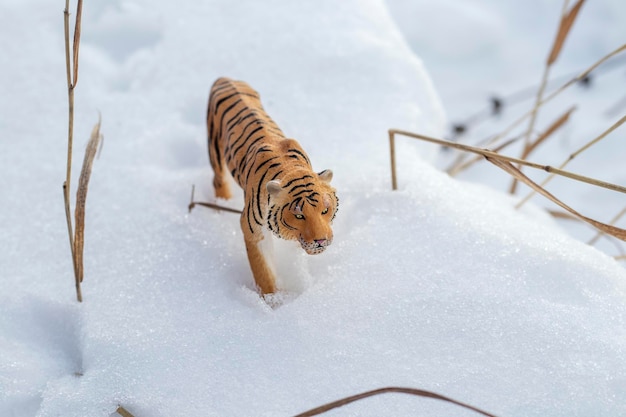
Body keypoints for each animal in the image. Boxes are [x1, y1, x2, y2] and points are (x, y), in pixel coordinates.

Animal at [206, 76, 338, 294]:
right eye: (299, 215)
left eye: (325, 210)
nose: (320, 241)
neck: (291, 169)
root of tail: (225, 79)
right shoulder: (253, 230)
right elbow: (264, 272)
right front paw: (273, 299)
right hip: (215, 151)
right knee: (218, 180)